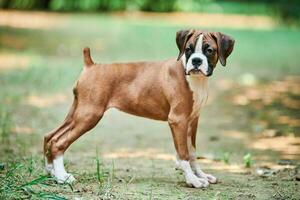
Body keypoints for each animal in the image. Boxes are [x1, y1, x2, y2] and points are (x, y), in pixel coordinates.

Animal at [44, 28, 234, 187]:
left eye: (209, 50)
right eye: (188, 49)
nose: (196, 61)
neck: (194, 79)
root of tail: (91, 64)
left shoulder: (192, 121)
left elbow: (193, 152)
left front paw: (201, 175)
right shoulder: (178, 121)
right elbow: (184, 154)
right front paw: (192, 180)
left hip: (77, 113)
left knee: (50, 137)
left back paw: (51, 171)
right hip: (89, 115)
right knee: (59, 142)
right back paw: (62, 177)